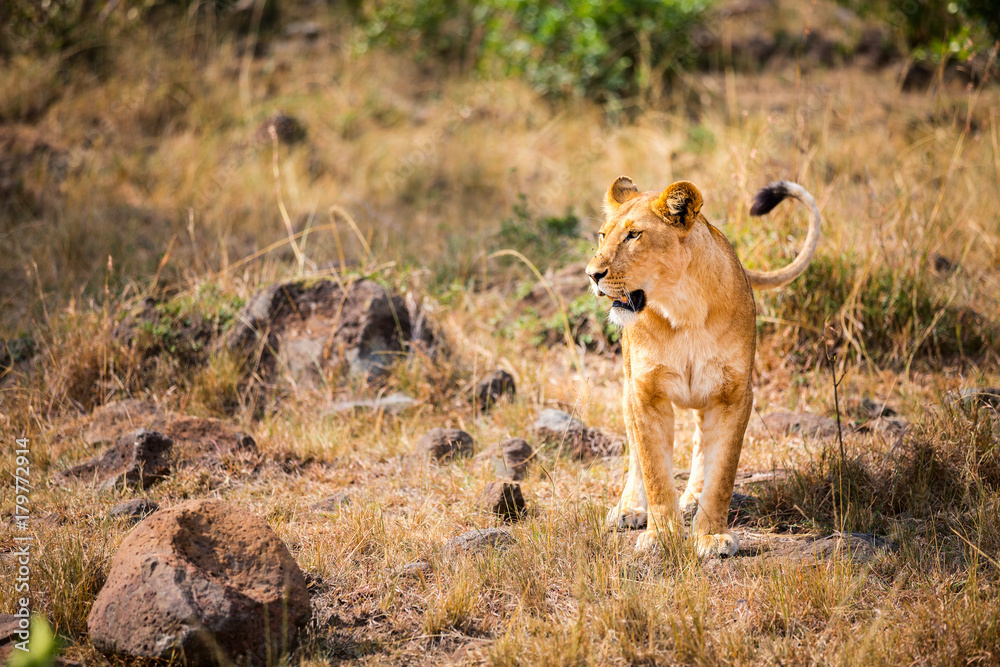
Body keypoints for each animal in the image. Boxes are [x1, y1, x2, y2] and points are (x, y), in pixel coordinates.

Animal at [586, 177, 821, 557]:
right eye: (602, 235)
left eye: (633, 235)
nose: (591, 275)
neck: (684, 309)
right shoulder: (645, 393)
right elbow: (654, 468)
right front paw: (661, 536)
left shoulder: (734, 395)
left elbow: (722, 471)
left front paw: (712, 536)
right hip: (628, 387)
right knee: (636, 451)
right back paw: (630, 508)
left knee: (700, 441)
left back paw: (692, 499)